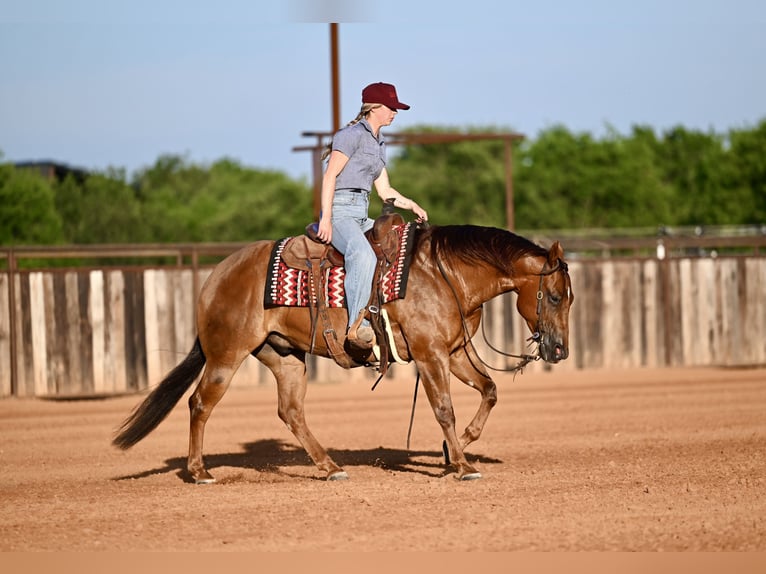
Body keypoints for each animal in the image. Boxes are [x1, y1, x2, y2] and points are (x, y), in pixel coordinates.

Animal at [113, 224, 574, 482]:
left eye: (569, 298)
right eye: (553, 296)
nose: (559, 350)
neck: (444, 274)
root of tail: (217, 275)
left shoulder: (457, 351)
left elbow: (490, 390)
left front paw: (452, 452)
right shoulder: (431, 355)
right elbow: (445, 409)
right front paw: (462, 466)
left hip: (284, 357)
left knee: (291, 412)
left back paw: (330, 467)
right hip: (227, 356)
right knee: (199, 404)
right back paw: (199, 471)